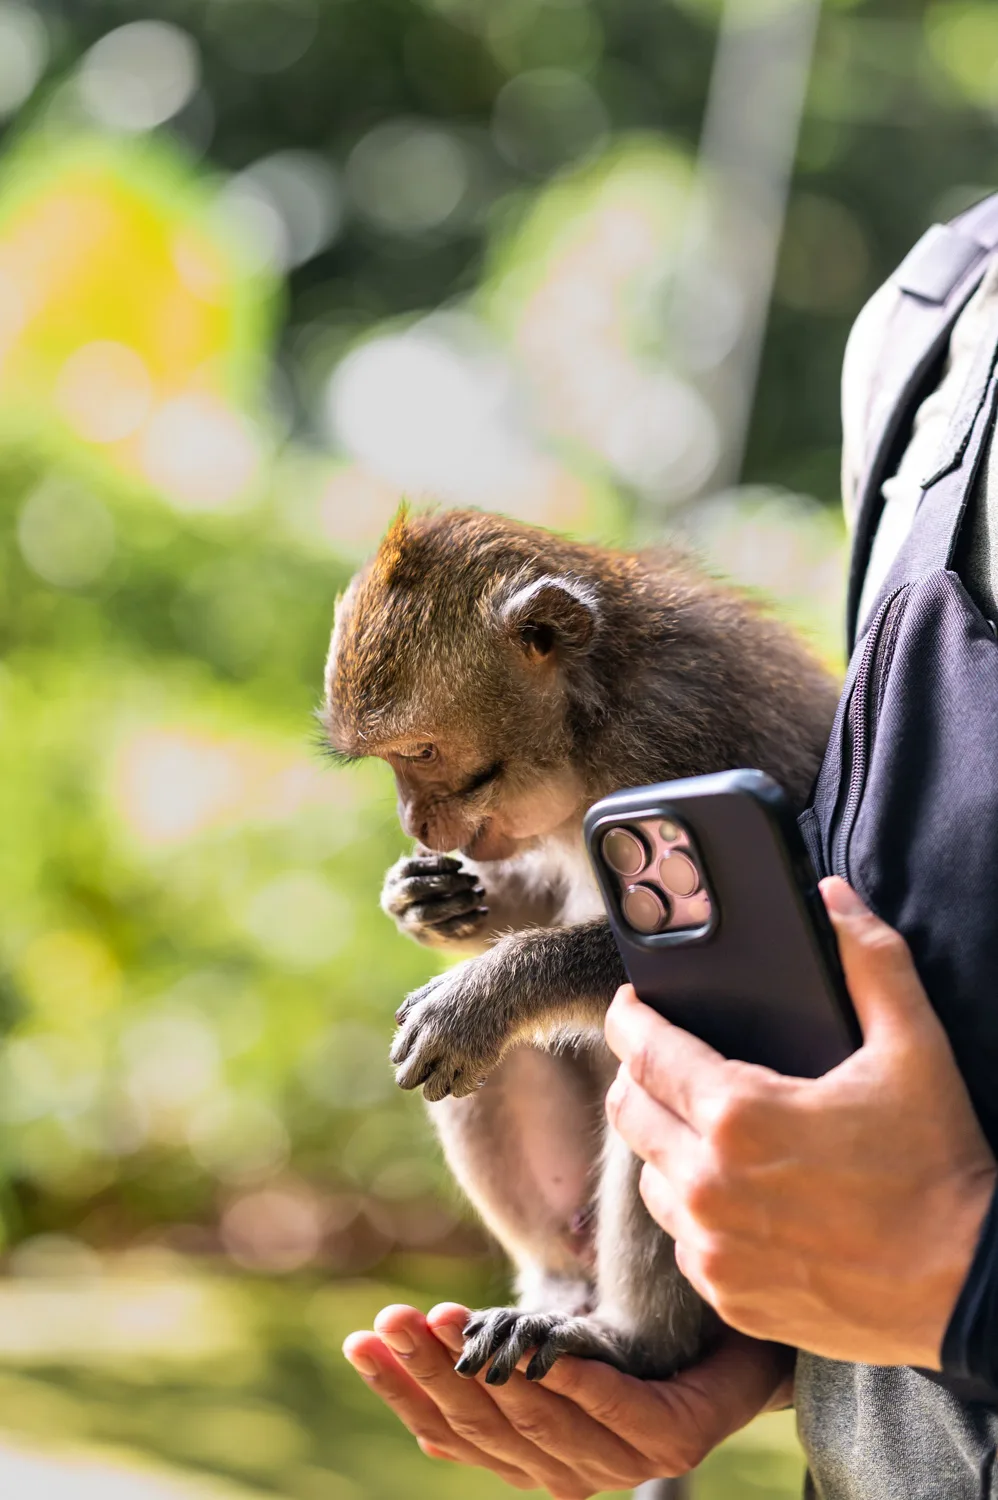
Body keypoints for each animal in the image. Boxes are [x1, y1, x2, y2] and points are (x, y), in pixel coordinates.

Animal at [321, 505, 838, 1387]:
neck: (592, 720)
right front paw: (428, 901)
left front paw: (490, 990)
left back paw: (635, 1341)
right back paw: (560, 1288)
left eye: (420, 752)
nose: (414, 823)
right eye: (392, 761)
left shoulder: (678, 741)